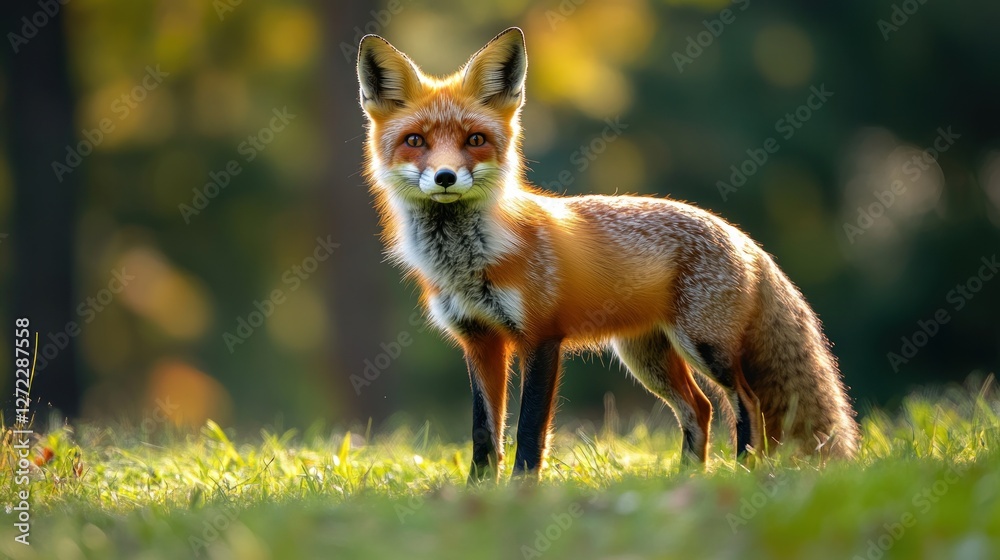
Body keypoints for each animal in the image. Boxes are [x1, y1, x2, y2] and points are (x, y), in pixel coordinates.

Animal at [356, 27, 859, 481]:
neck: (468, 261)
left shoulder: (542, 338)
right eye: (415, 141)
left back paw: (741, 472)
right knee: (698, 409)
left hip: (704, 347)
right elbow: (484, 434)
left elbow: (529, 431)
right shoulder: (480, 341)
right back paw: (685, 479)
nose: (445, 177)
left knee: (747, 403)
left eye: (475, 140)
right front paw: (479, 492)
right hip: (646, 357)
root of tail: (741, 236)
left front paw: (521, 490)